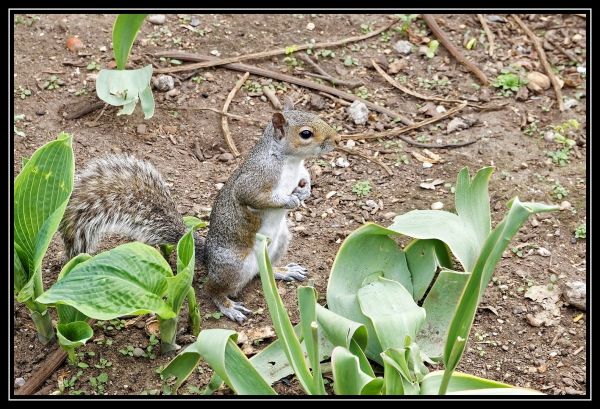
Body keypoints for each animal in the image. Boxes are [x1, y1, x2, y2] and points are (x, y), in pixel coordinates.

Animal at [62, 96, 342, 322]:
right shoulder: (255, 179)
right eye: (306, 134)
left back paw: (284, 270)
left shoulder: (299, 171)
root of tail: (208, 257)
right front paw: (289, 201)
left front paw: (305, 190)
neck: (289, 161)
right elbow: (254, 197)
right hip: (233, 266)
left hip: (280, 242)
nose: (337, 139)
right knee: (212, 289)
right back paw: (228, 306)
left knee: (266, 271)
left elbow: (305, 178)